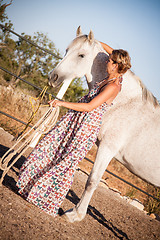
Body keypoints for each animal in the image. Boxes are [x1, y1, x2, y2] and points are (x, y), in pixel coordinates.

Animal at [48, 26, 160, 223]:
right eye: (66, 51)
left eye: (81, 55)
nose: (53, 77)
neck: (125, 103)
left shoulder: (108, 148)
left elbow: (92, 181)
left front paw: (76, 214)